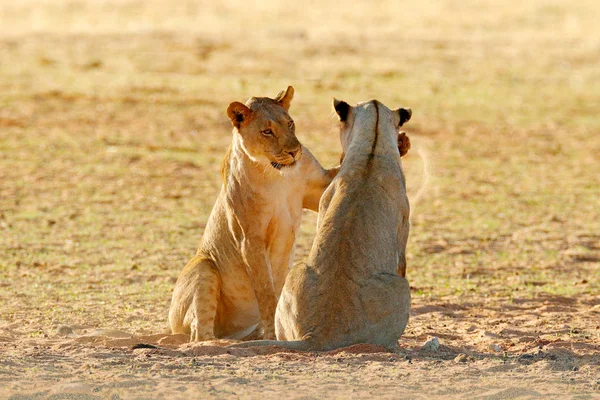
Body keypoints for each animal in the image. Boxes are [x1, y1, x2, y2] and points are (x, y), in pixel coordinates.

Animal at [230, 97, 412, 350]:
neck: (372, 151)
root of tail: (316, 336)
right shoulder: (403, 231)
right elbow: (402, 262)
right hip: (402, 289)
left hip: (295, 271)